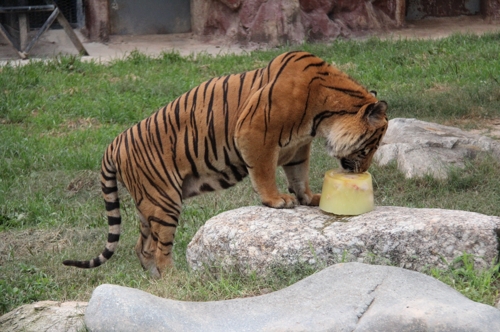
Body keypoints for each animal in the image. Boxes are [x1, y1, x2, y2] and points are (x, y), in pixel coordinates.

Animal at [62, 51, 388, 278]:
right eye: (371, 146)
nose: (362, 171)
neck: (324, 113)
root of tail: (114, 143)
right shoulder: (255, 132)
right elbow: (265, 172)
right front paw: (277, 200)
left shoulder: (297, 148)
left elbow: (299, 174)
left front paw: (308, 197)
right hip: (163, 201)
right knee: (158, 249)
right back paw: (175, 279)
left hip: (147, 205)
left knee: (141, 247)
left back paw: (156, 281)